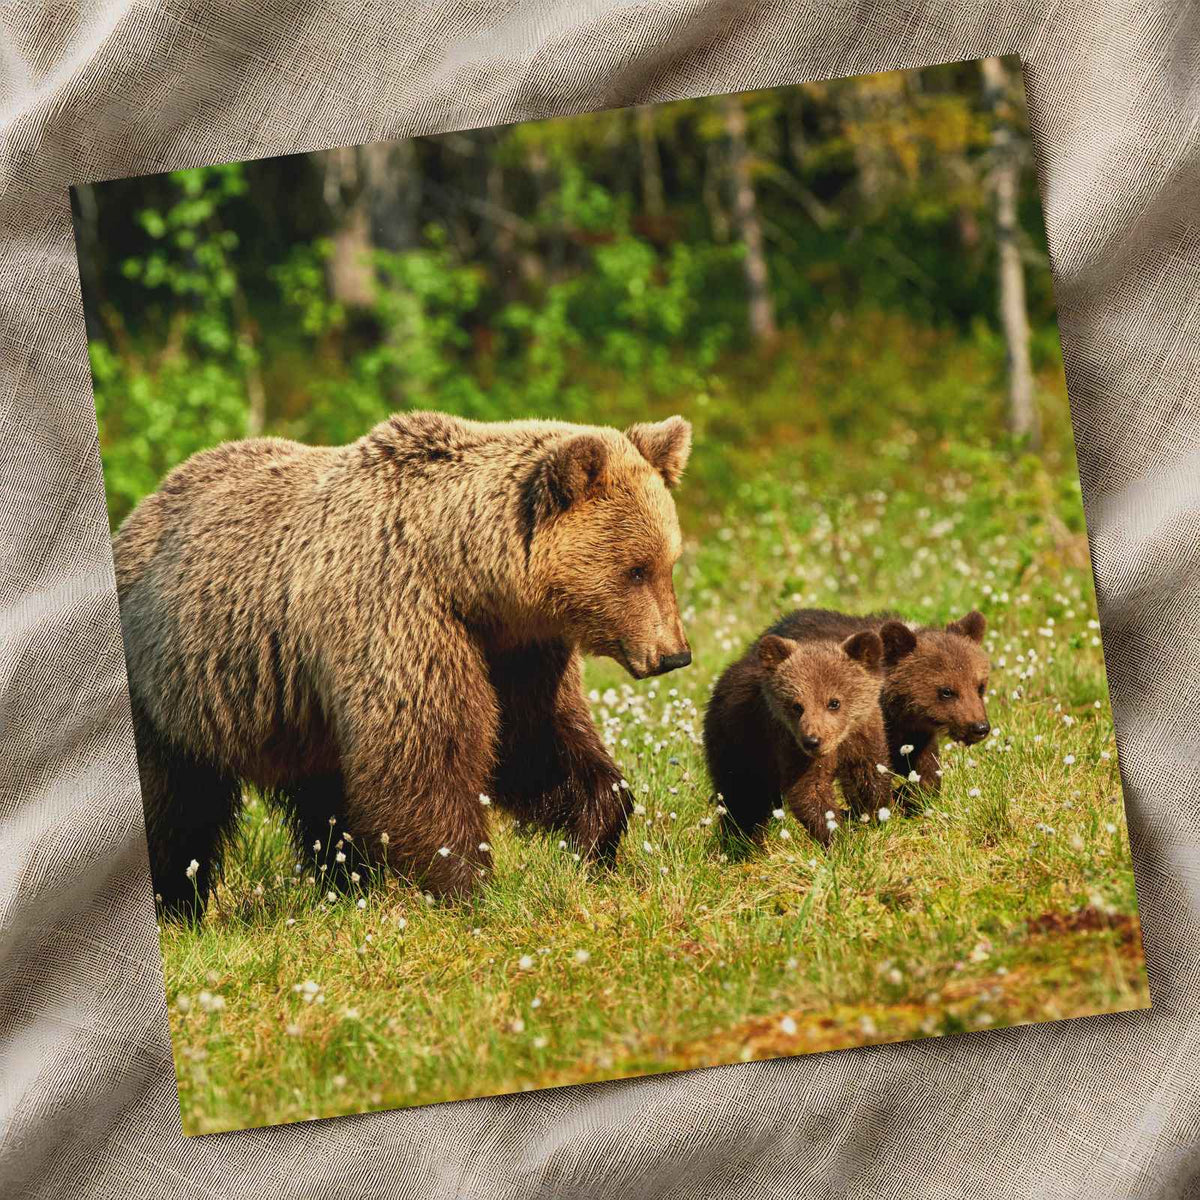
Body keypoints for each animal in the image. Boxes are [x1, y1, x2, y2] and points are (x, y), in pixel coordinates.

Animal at [113, 410, 694, 915]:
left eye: (667, 561)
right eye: (634, 569)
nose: (674, 653)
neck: (465, 575)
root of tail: (139, 510)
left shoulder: (516, 651)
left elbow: (536, 744)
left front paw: (598, 833)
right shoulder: (399, 615)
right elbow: (422, 753)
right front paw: (470, 881)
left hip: (295, 717)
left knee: (322, 802)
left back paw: (344, 885)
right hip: (166, 687)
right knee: (174, 807)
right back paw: (175, 907)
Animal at [704, 627, 889, 847]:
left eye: (834, 702)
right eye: (797, 705)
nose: (812, 741)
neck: (839, 741)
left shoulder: (862, 735)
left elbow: (869, 774)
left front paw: (876, 816)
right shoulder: (788, 744)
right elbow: (809, 790)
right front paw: (836, 837)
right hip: (739, 745)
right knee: (743, 799)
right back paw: (742, 842)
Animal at [765, 609, 991, 801]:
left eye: (980, 686)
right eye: (947, 691)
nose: (980, 727)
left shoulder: (913, 733)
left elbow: (925, 769)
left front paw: (912, 794)